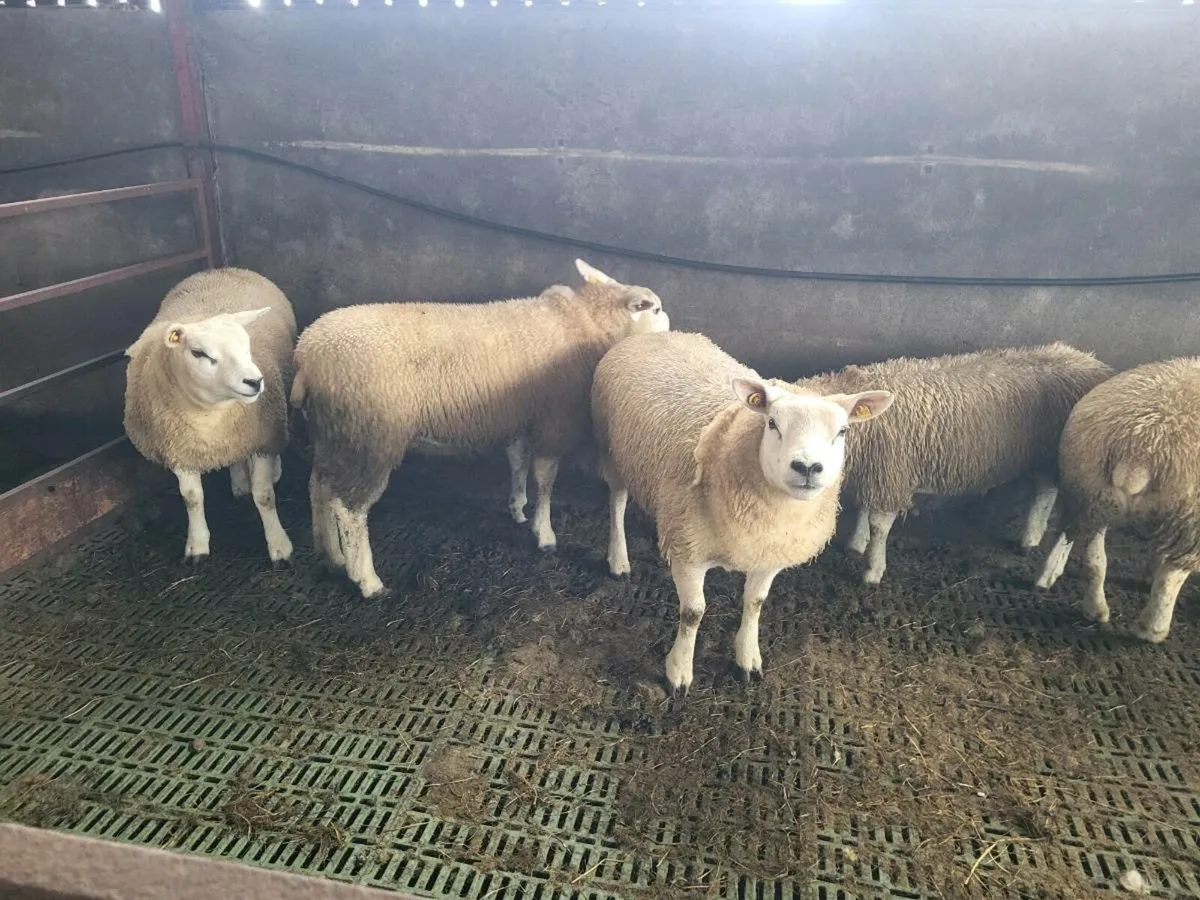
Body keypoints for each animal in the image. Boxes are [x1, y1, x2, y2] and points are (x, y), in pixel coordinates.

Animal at [123, 267, 297, 566]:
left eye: (247, 345)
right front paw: (197, 545)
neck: (210, 419)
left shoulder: (263, 439)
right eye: (198, 353)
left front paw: (279, 546)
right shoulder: (179, 450)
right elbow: (192, 498)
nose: (255, 381)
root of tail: (219, 269)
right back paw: (239, 483)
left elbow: (264, 495)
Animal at [292, 259, 669, 599]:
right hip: (369, 436)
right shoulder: (553, 419)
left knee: (318, 487)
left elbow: (518, 462)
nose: (668, 327)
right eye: (656, 308)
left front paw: (518, 508)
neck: (589, 321)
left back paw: (330, 554)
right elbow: (545, 478)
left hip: (334, 432)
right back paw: (367, 580)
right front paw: (544, 533)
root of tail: (307, 356)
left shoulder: (520, 417)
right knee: (349, 510)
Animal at [591, 331, 893, 695]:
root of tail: (658, 333)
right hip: (610, 450)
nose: (807, 467)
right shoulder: (691, 552)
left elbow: (755, 603)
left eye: (843, 431)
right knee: (617, 503)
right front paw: (679, 672)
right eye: (772, 423)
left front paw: (748, 658)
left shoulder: (767, 551)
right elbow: (693, 613)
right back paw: (618, 559)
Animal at [794, 343, 1113, 584]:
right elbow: (864, 508)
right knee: (1044, 491)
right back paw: (1030, 538)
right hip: (1044, 454)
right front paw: (857, 544)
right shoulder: (877, 469)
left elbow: (879, 525)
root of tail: (1090, 361)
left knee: (1050, 495)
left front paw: (872, 570)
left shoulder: (891, 468)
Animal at [1035, 357, 1200, 643]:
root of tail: (1142, 444)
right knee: (1172, 576)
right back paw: (1152, 629)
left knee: (1094, 558)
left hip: (1090, 493)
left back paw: (1094, 610)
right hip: (1189, 517)